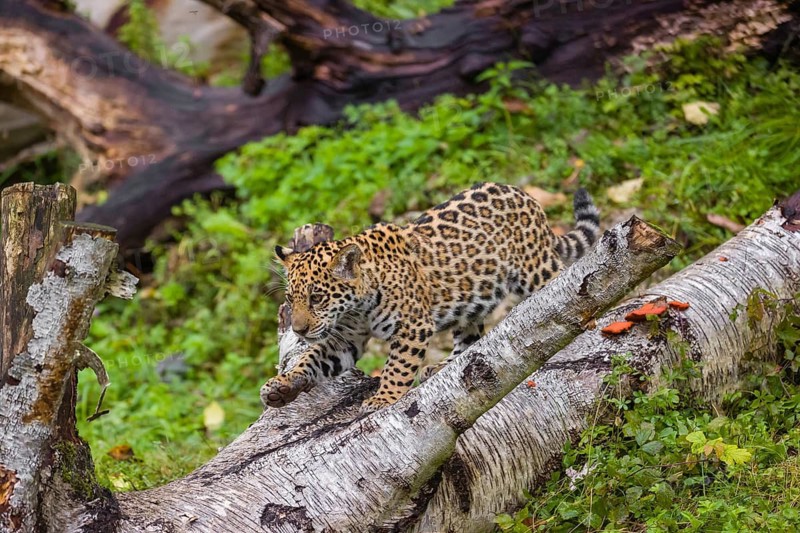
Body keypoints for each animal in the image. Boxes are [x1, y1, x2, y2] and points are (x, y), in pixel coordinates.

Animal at [262, 182, 600, 411]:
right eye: (291, 300)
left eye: (317, 298)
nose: (298, 330)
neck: (356, 308)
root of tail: (523, 194)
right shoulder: (344, 340)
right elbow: (311, 357)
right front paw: (282, 385)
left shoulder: (412, 325)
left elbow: (397, 367)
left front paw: (383, 397)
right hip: (469, 302)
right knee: (470, 337)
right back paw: (441, 367)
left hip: (535, 270)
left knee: (561, 289)